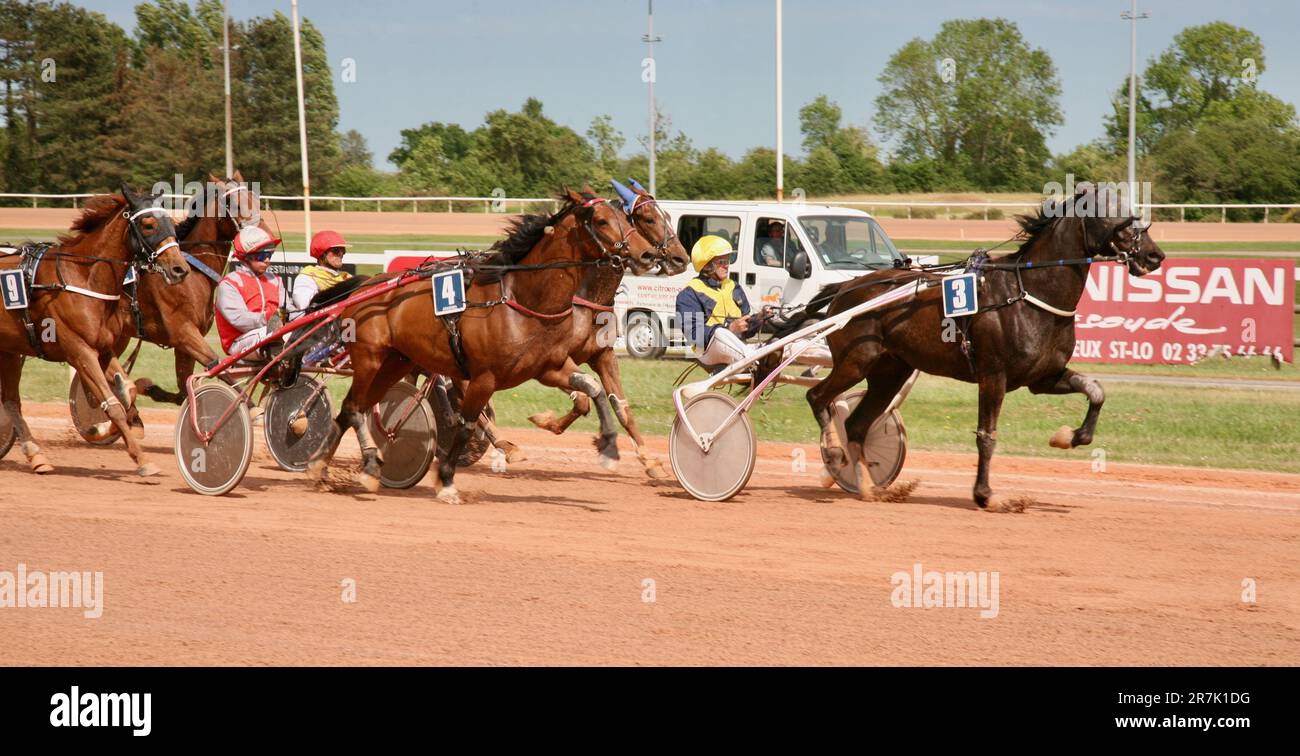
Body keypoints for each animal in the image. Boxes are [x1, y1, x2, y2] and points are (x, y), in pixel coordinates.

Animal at [0, 187, 191, 478]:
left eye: (171, 223)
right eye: (148, 225)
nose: (179, 269)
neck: (83, 278)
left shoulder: (104, 349)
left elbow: (125, 392)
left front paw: (104, 428)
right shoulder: (79, 351)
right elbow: (112, 404)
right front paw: (142, 460)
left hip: (9, 350)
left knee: (11, 401)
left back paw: (37, 456)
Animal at [306, 188, 660, 503]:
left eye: (625, 217)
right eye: (601, 220)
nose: (646, 254)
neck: (521, 301)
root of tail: (364, 286)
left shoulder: (549, 368)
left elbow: (595, 390)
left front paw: (609, 447)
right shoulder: (484, 378)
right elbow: (465, 425)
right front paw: (447, 481)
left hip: (395, 362)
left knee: (350, 408)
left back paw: (319, 467)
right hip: (369, 358)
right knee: (355, 408)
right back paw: (367, 463)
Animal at [525, 176, 696, 478]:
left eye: (666, 215)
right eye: (649, 218)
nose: (680, 258)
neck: (587, 301)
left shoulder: (602, 355)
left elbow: (619, 405)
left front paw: (650, 462)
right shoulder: (550, 361)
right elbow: (583, 398)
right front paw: (548, 422)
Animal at [790, 185, 1170, 509]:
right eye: (1114, 215)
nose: (1155, 255)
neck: (1029, 293)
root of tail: (845, 288)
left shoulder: (1043, 377)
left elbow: (1096, 391)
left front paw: (1069, 437)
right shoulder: (993, 376)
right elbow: (987, 435)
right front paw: (986, 495)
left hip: (890, 371)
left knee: (856, 424)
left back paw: (869, 488)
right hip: (856, 359)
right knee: (817, 397)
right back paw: (835, 455)